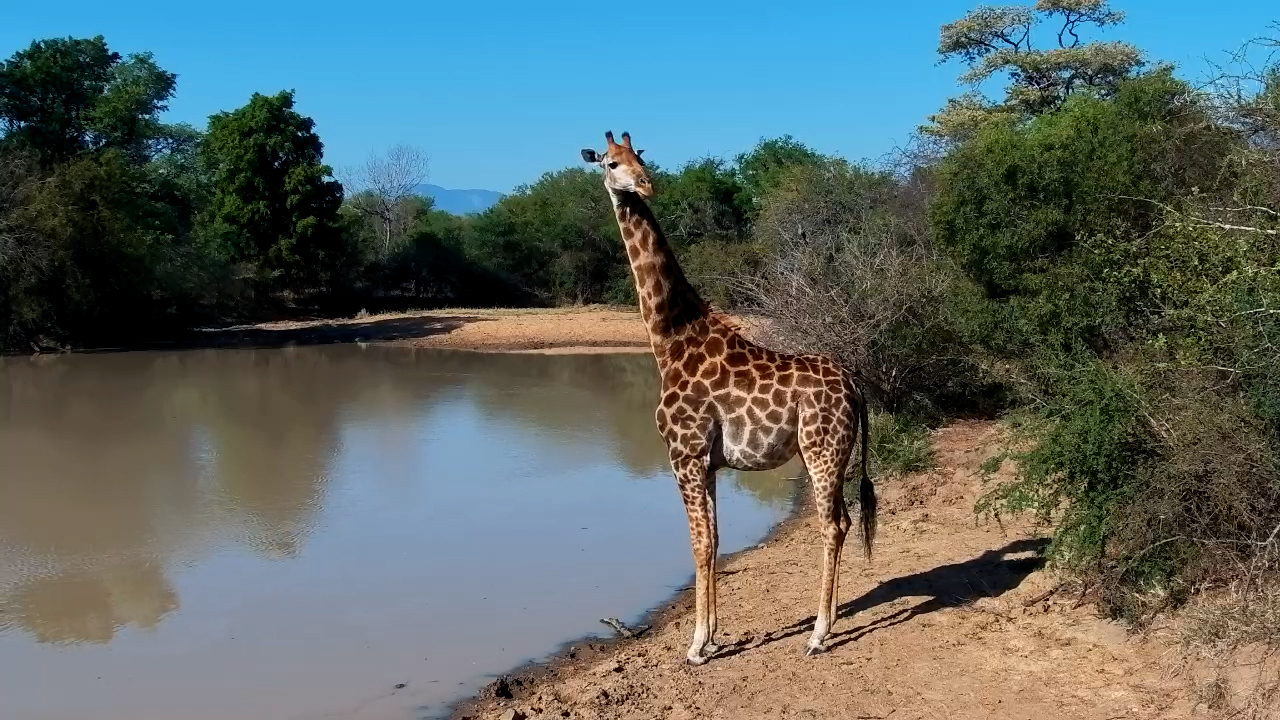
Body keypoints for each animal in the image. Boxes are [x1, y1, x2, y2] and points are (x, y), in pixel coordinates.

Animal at [580, 131, 877, 665]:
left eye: (640, 158)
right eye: (612, 163)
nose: (645, 185)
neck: (669, 340)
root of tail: (857, 386)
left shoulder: (684, 453)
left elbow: (698, 544)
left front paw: (696, 645)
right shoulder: (710, 461)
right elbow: (715, 540)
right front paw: (713, 634)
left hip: (821, 452)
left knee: (833, 525)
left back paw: (818, 634)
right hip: (833, 454)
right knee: (843, 521)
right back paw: (830, 620)